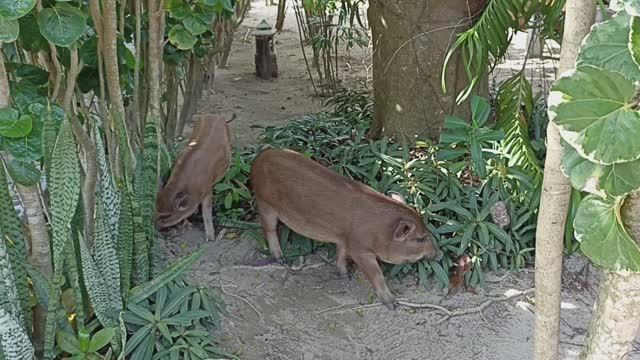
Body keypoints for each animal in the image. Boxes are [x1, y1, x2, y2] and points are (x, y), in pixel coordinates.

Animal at [249, 148, 440, 308]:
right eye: (420, 239)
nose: (439, 254)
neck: (380, 231)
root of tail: (259, 158)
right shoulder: (360, 249)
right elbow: (376, 274)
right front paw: (393, 305)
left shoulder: (345, 238)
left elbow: (341, 253)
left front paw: (345, 276)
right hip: (265, 203)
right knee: (268, 229)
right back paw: (281, 259)